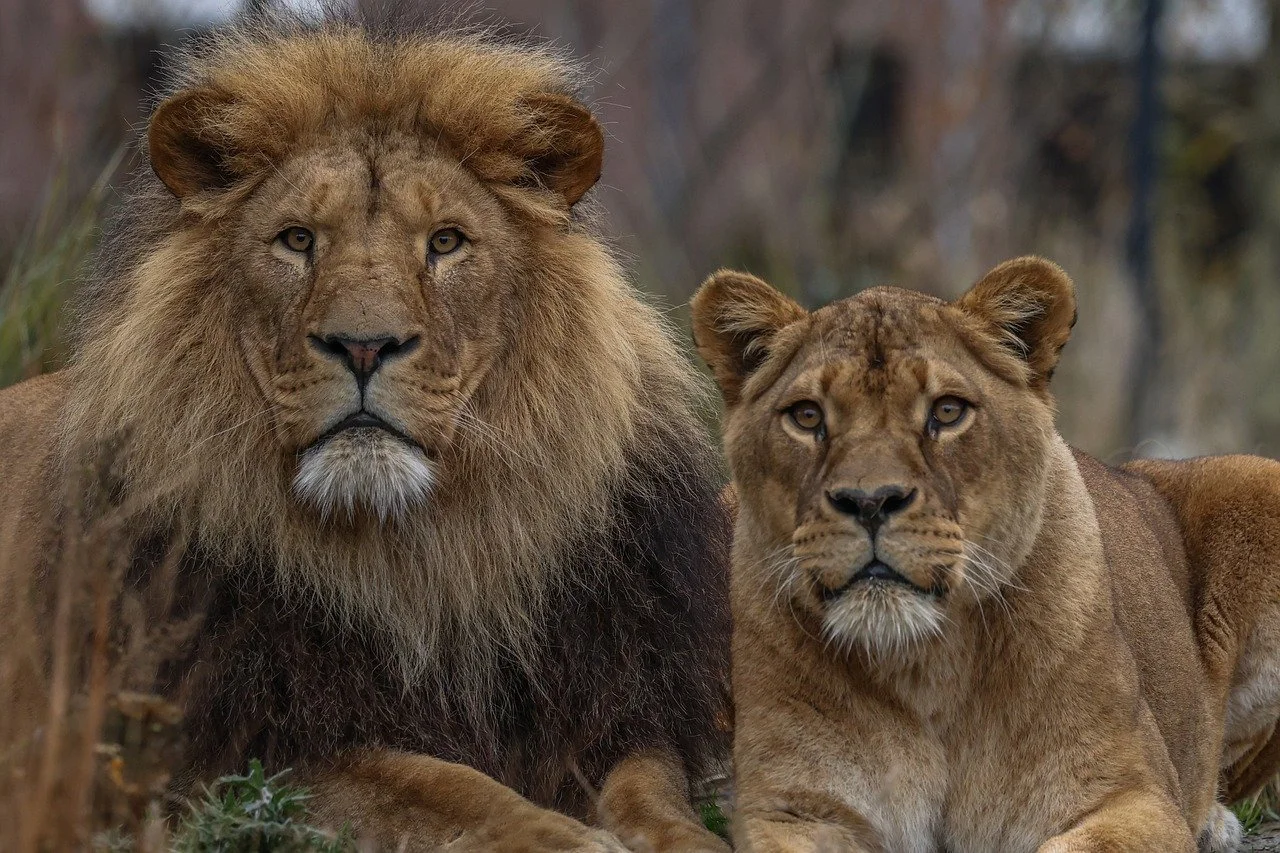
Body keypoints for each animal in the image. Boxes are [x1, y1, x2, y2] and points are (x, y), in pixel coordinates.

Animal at [0, 10, 732, 852]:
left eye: (445, 242)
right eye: (296, 240)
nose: (362, 345)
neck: (419, 556)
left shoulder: (610, 703)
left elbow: (655, 792)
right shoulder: (244, 754)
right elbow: (447, 789)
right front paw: (566, 837)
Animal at [690, 256, 1280, 852]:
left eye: (948, 412)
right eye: (807, 417)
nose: (871, 500)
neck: (923, 665)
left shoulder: (1132, 795)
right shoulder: (792, 810)